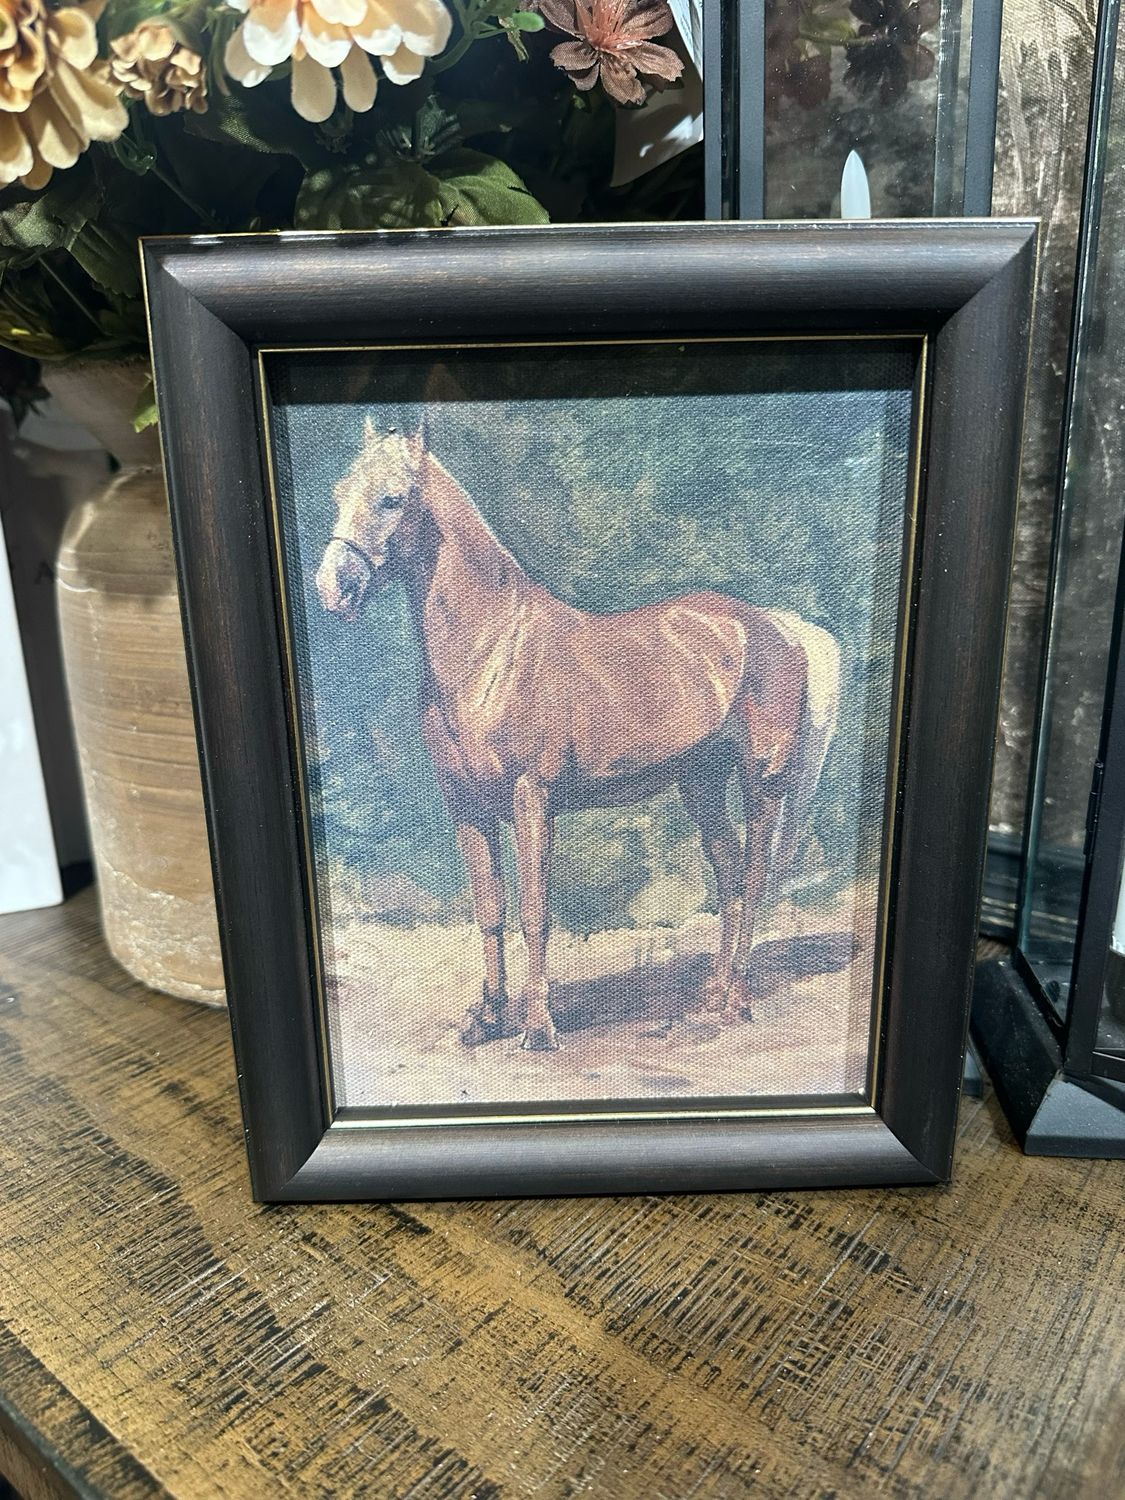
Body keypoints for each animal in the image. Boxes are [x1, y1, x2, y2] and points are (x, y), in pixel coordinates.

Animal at [315, 420, 841, 1052]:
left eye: (392, 499)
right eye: (339, 493)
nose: (332, 589)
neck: (491, 649)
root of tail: (775, 624)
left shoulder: (531, 797)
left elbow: (534, 911)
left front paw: (538, 1028)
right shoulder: (466, 805)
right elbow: (489, 909)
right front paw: (486, 1019)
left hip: (762, 779)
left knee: (756, 874)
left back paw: (736, 1001)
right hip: (701, 783)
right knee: (730, 873)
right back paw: (712, 995)